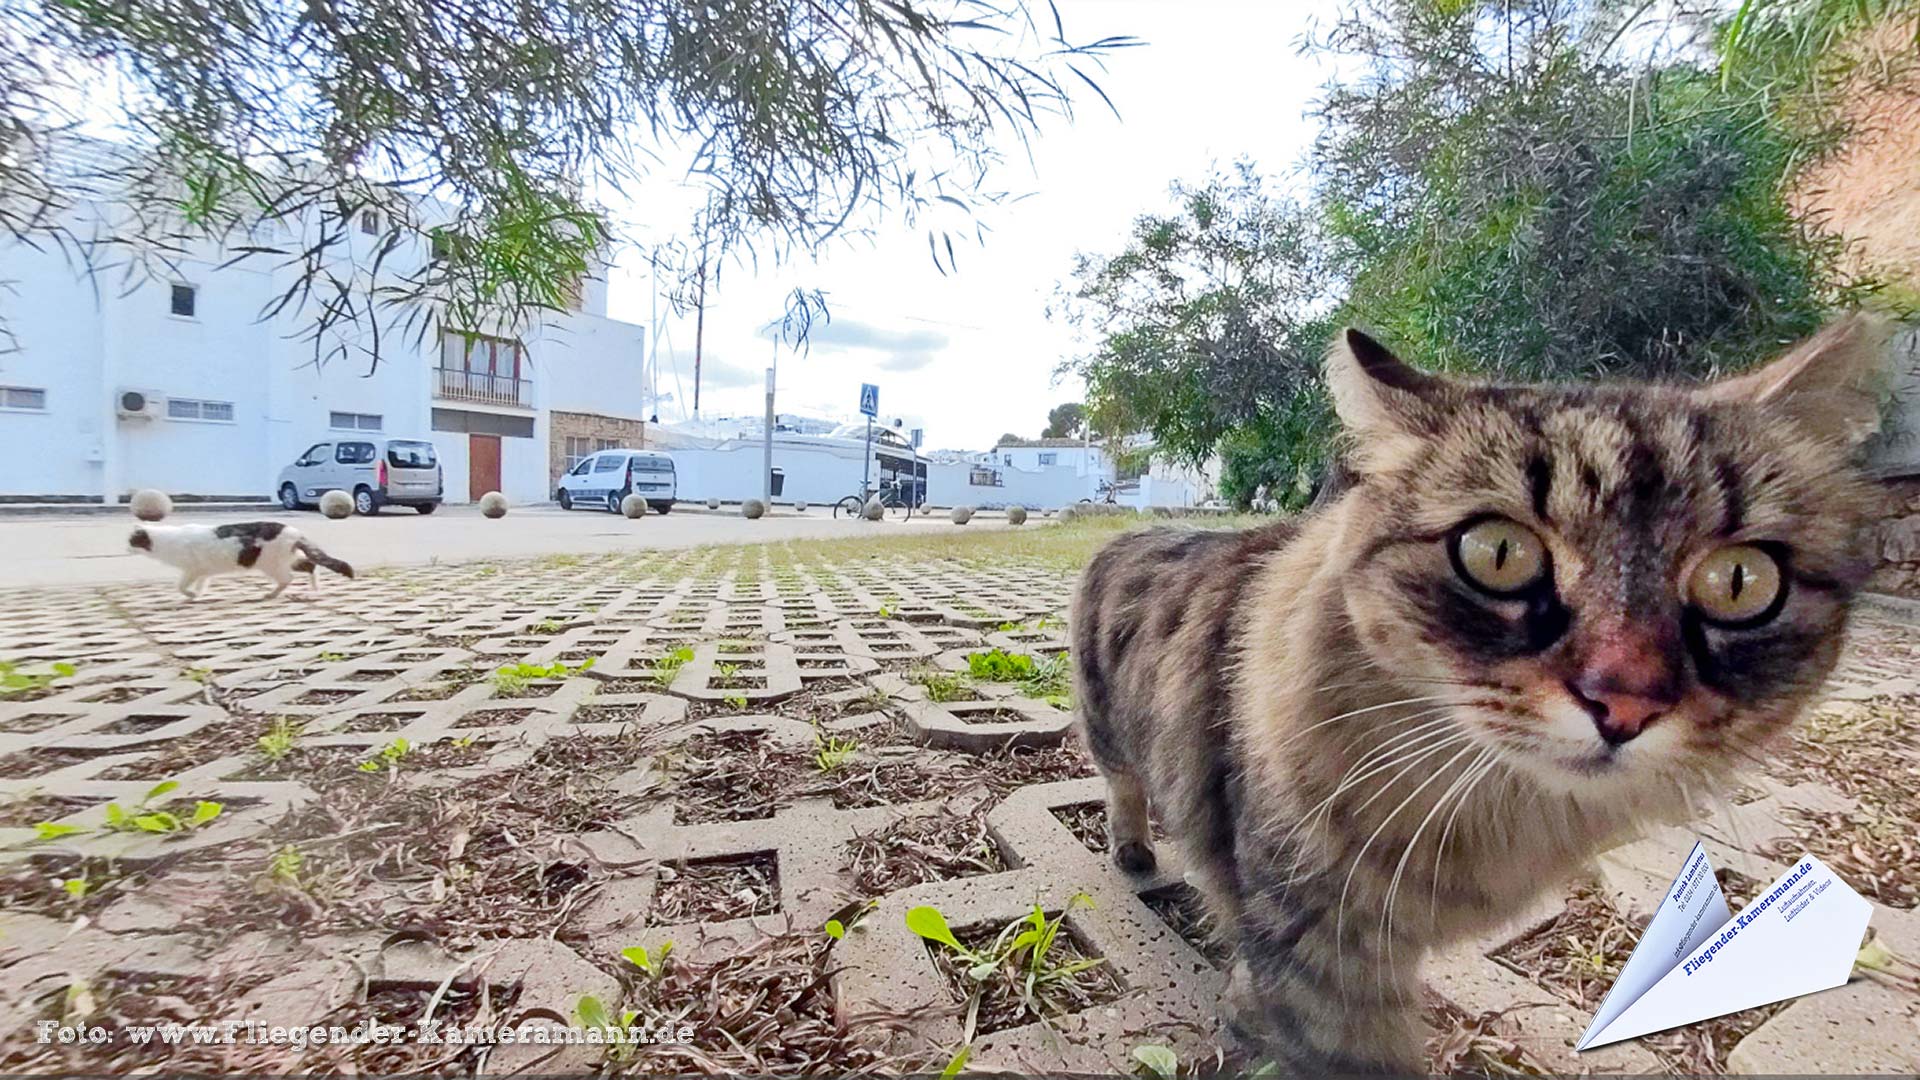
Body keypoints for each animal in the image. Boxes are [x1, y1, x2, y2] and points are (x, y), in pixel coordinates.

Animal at [1075, 317, 1881, 1068]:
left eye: (1739, 582)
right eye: (1497, 553)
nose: (1626, 700)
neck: (1491, 807)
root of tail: (1128, 534)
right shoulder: (1317, 947)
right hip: (1106, 732)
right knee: (1123, 787)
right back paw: (1134, 851)